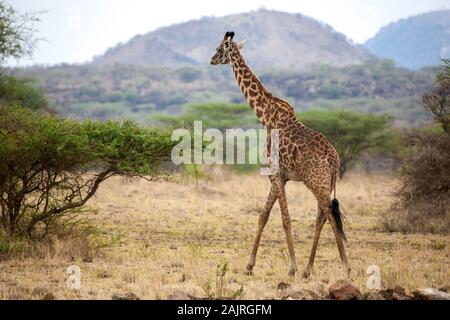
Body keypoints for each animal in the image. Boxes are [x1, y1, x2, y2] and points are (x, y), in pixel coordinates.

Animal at [211, 31, 352, 278]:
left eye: (219, 49)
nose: (211, 60)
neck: (265, 116)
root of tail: (334, 159)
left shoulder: (274, 173)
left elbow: (285, 219)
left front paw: (291, 267)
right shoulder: (282, 177)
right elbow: (263, 216)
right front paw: (249, 266)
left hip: (316, 181)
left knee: (330, 216)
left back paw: (344, 268)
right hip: (324, 182)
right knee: (322, 216)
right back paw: (308, 269)